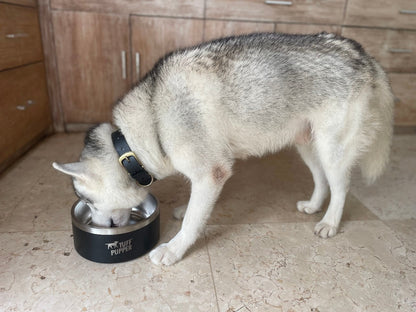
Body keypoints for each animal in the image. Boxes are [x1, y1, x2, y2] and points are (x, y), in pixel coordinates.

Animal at [52, 32, 394, 266]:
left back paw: (331, 222)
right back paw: (314, 205)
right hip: (308, 145)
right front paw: (184, 211)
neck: (150, 121)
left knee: (342, 186)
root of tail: (359, 51)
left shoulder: (210, 173)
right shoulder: (201, 175)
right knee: (322, 179)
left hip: (332, 149)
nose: (96, 227)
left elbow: (192, 222)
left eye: (87, 200)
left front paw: (174, 250)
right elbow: (193, 207)